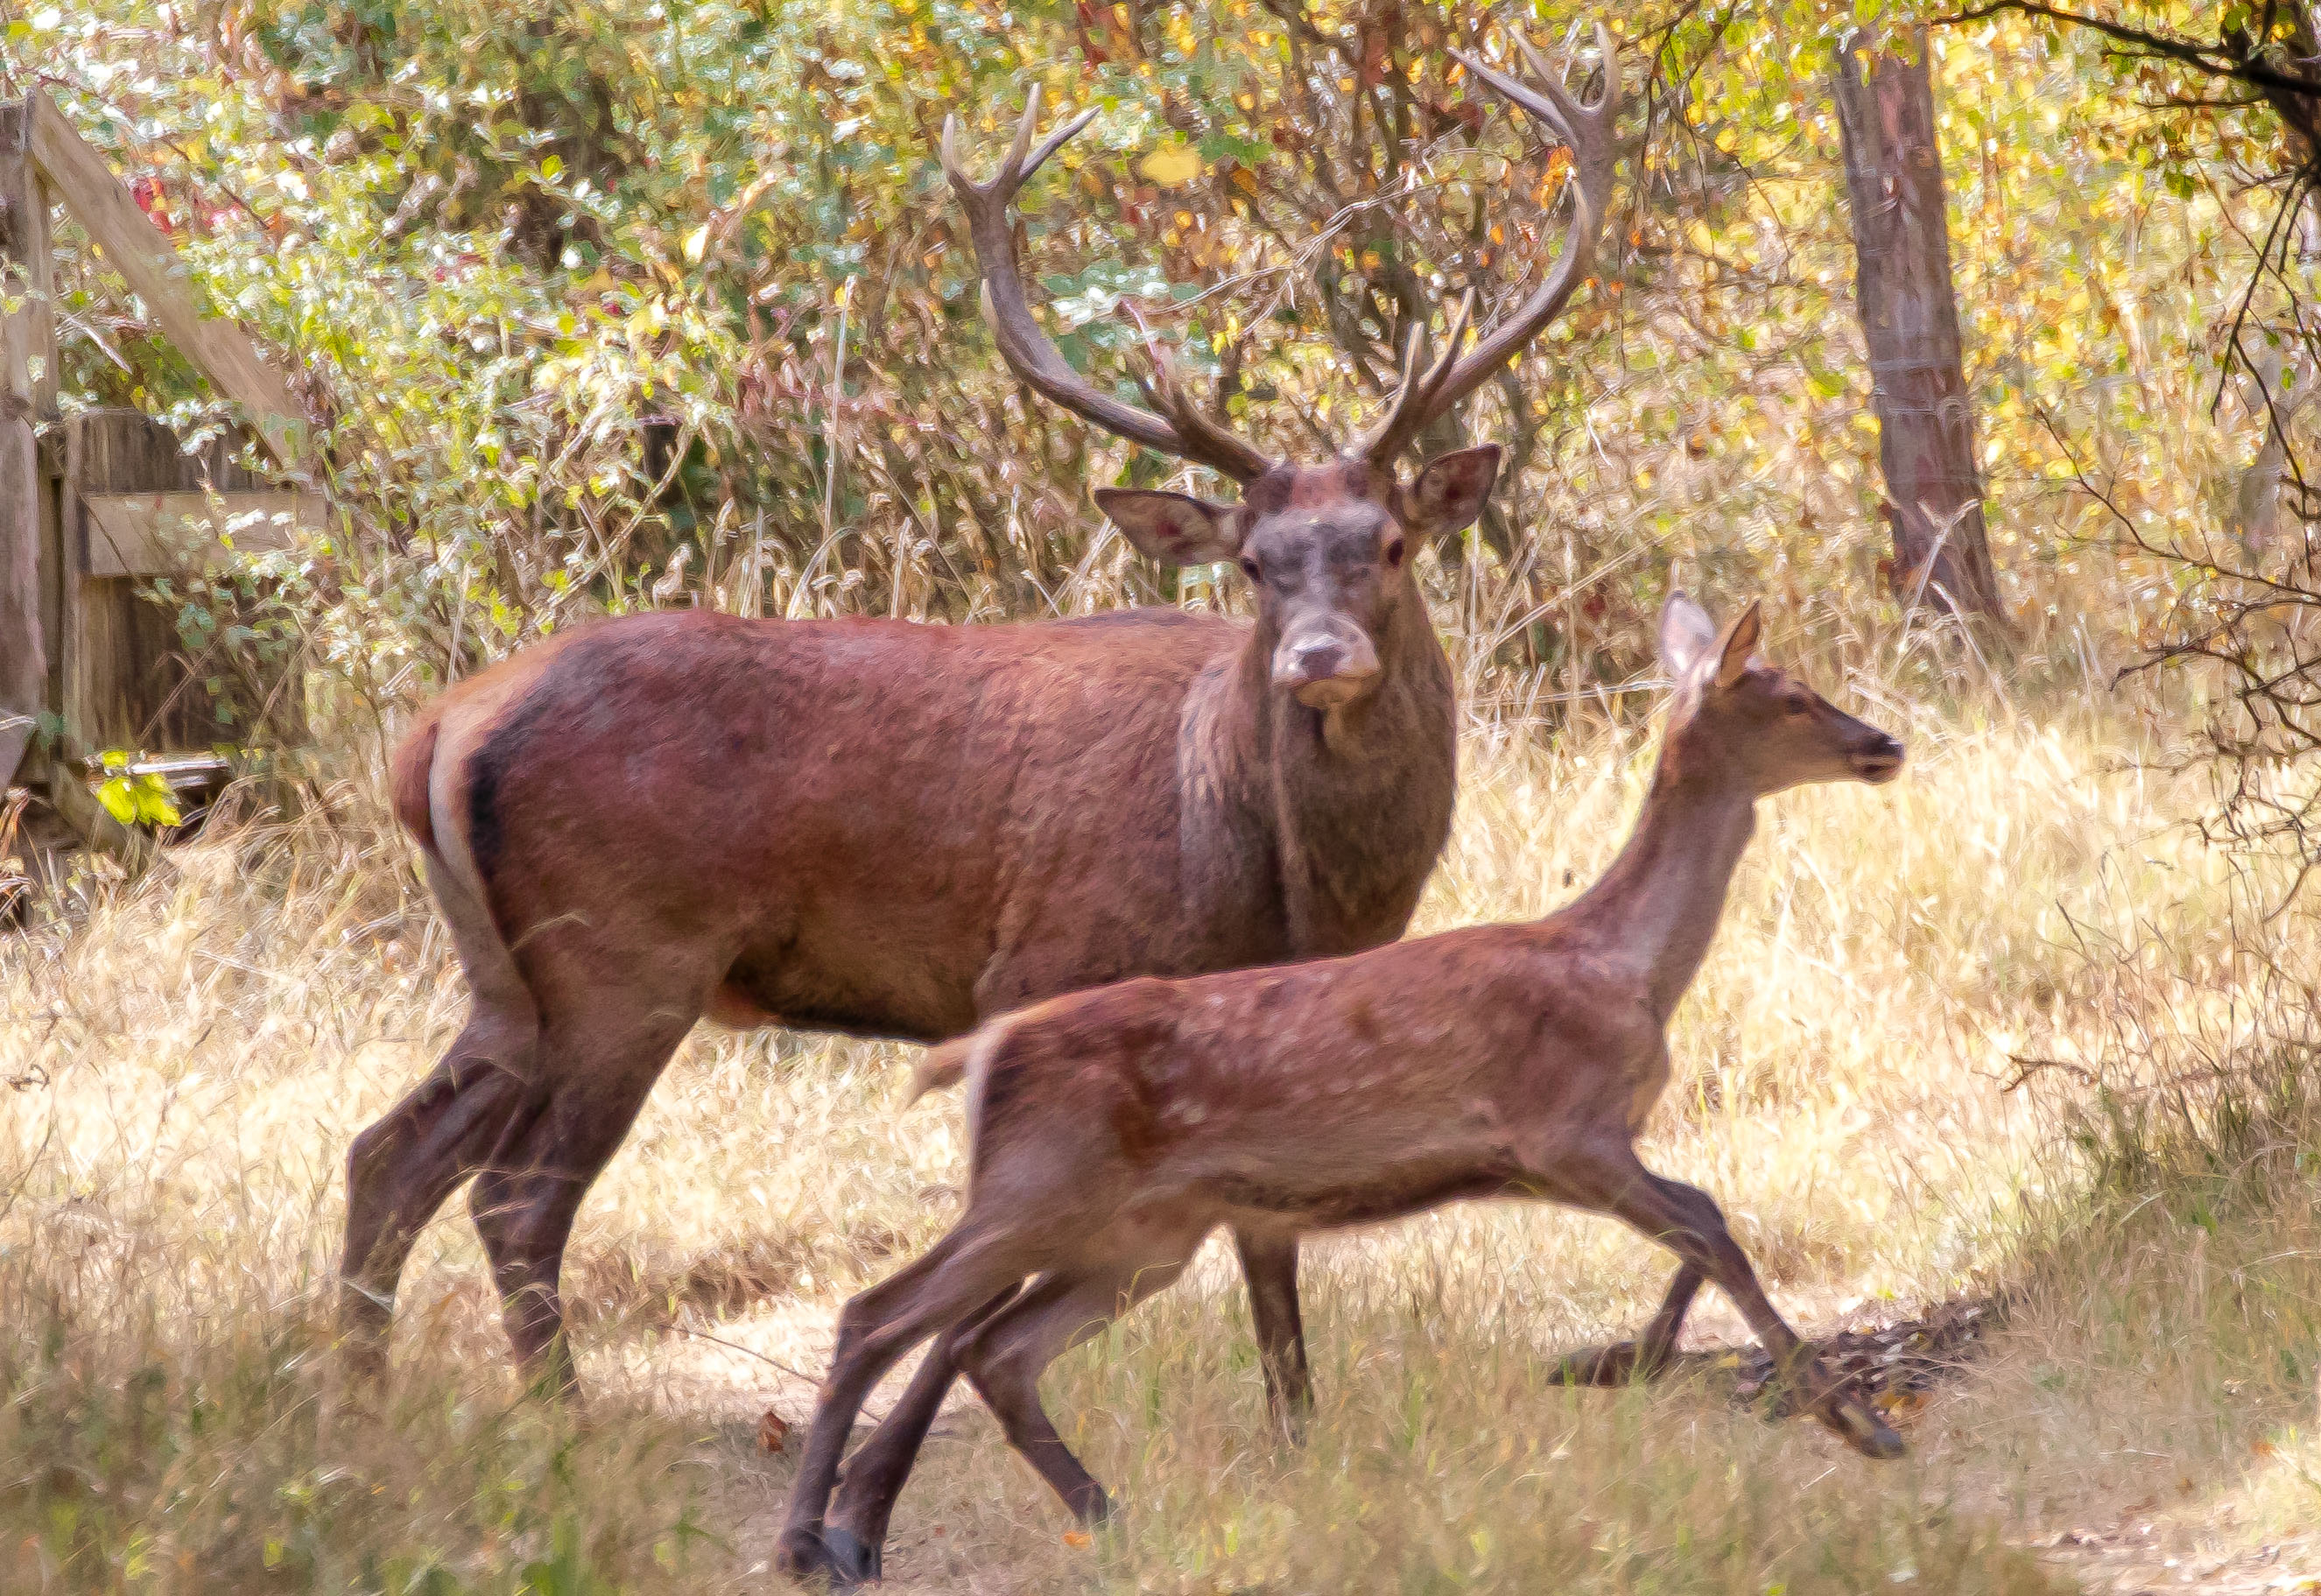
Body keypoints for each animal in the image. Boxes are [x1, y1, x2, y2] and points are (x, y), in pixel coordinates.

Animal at [334, 23, 1623, 1445]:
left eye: (1387, 543)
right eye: (1251, 562)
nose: (1318, 658)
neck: (1279, 883)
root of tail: (441, 728)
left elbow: (1268, 1248)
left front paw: (1297, 1438)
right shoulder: (1043, 971)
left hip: (508, 978)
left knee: (388, 1151)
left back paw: (356, 1390)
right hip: (623, 953)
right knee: (517, 1192)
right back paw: (564, 1416)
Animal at [773, 593, 1909, 1584]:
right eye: (1792, 694)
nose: (1884, 743)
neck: (1622, 966)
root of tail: (980, 1054)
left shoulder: (1561, 1154)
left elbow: (1700, 1225)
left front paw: (1607, 1363)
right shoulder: (1557, 1125)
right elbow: (1709, 1224)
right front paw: (1859, 1422)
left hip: (1140, 1234)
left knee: (997, 1347)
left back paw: (1110, 1516)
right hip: (1040, 1183)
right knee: (878, 1312)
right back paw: (807, 1546)